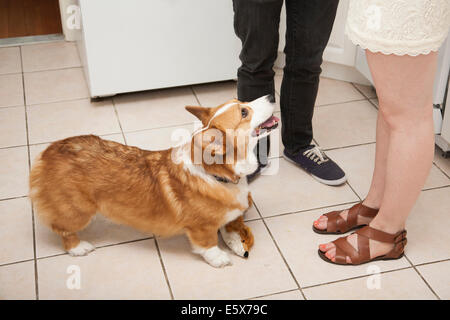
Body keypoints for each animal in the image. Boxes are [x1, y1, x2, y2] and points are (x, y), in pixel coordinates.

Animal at [29, 94, 278, 268]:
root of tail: (47, 153)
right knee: (63, 229)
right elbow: (207, 244)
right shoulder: (201, 227)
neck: (216, 174)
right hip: (79, 211)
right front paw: (219, 258)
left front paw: (234, 238)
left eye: (240, 101)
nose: (271, 96)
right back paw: (78, 247)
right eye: (244, 112)